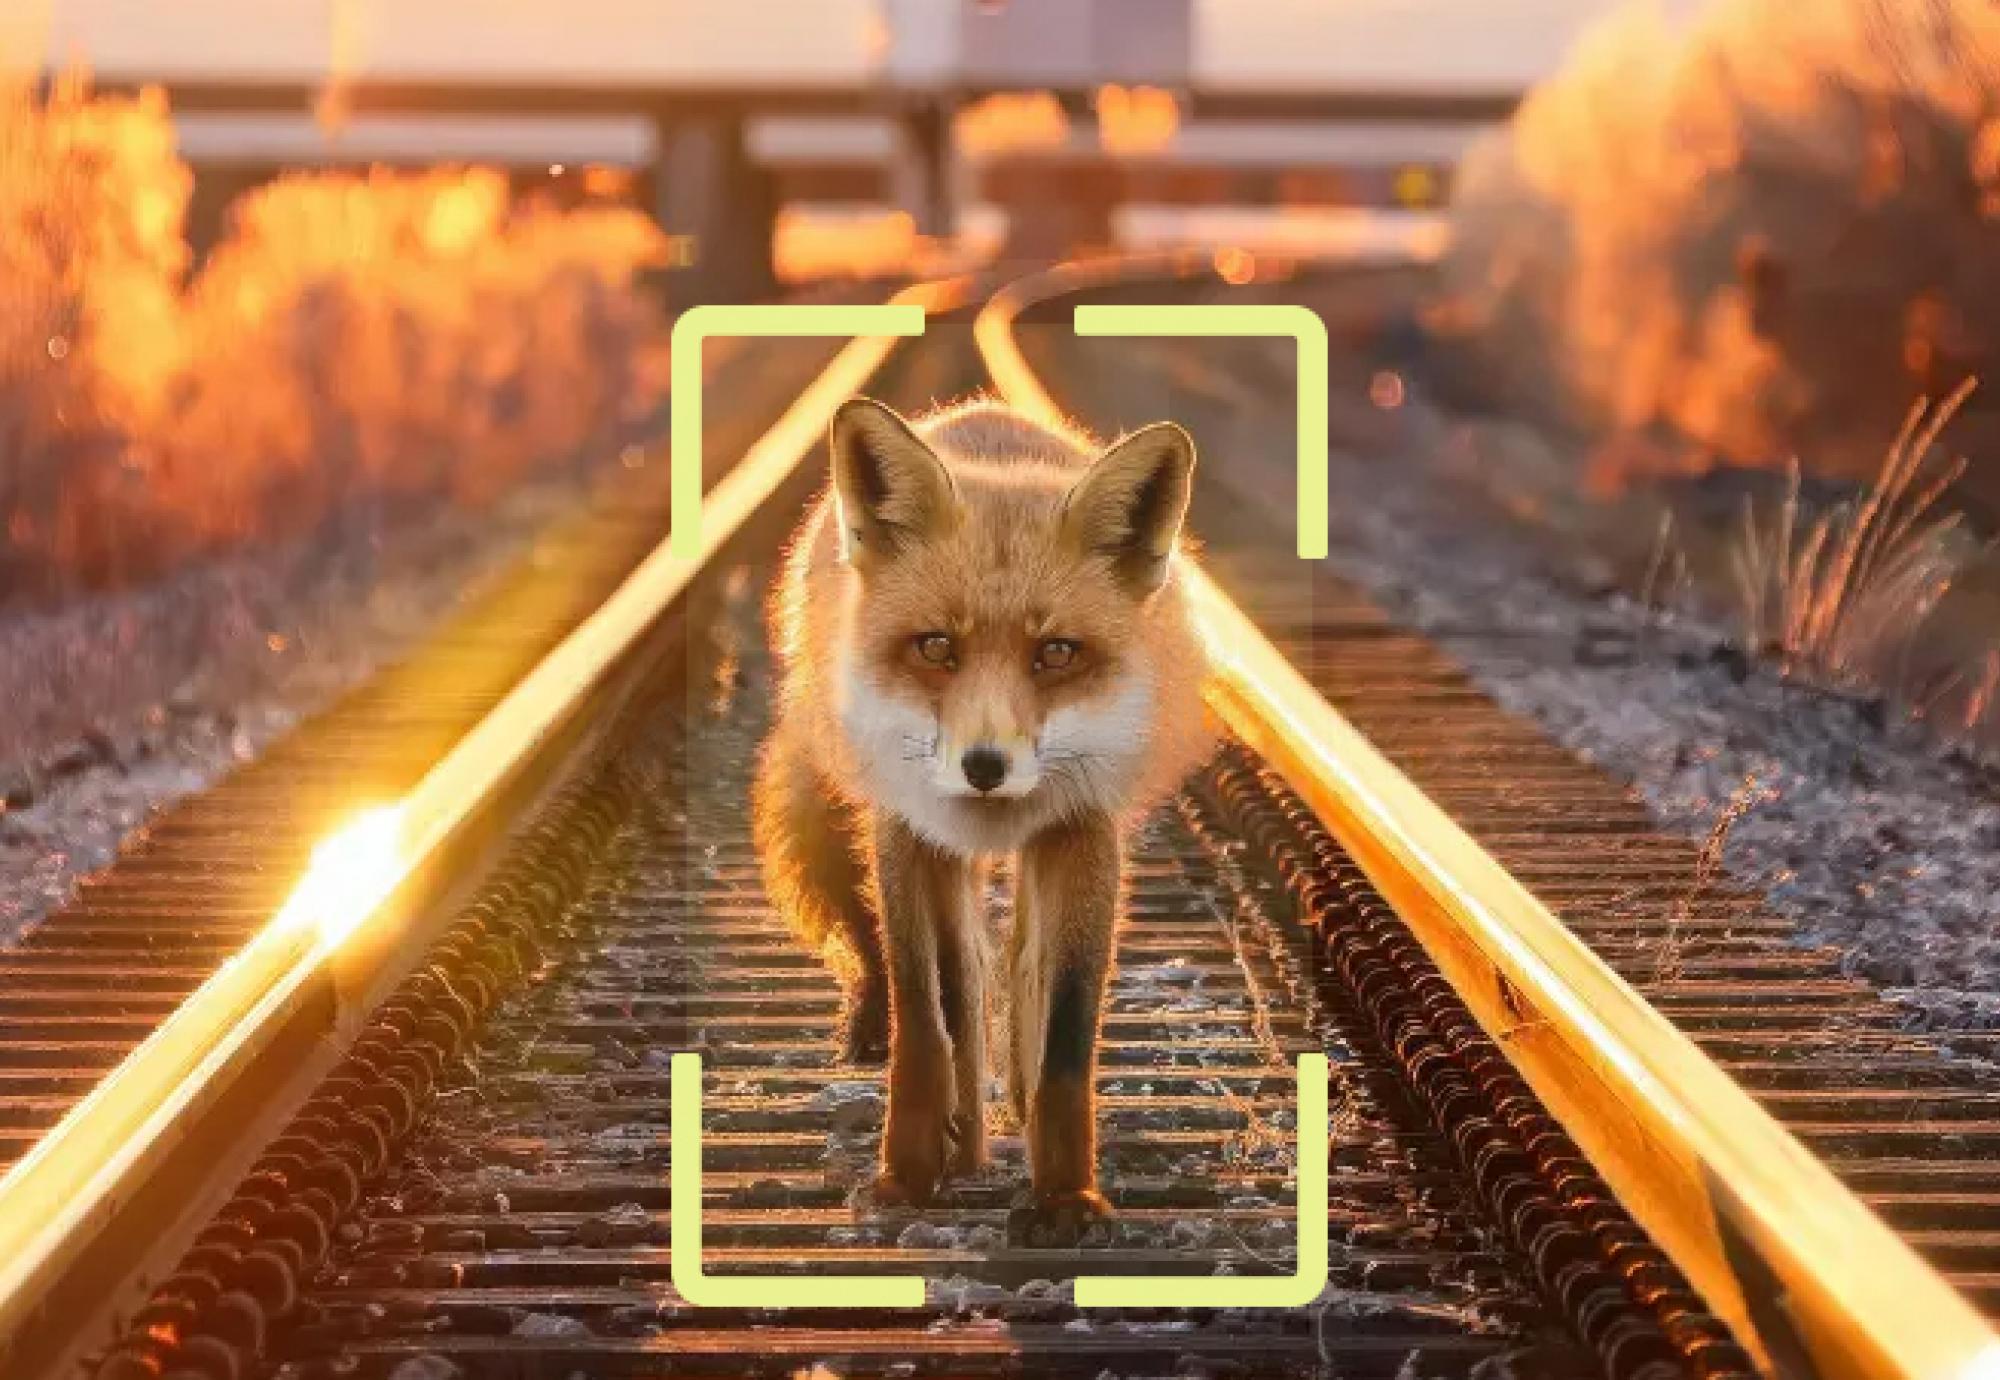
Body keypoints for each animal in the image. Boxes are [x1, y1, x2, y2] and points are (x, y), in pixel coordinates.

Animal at [752, 394, 1212, 1228]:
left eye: (1056, 652)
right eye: (936, 646)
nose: (985, 768)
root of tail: (978, 408)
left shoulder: (1083, 831)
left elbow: (1064, 1029)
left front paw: (1065, 1195)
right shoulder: (905, 830)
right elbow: (925, 1015)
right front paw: (906, 1175)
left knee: (1016, 966)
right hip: (828, 819)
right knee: (932, 980)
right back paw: (944, 1122)